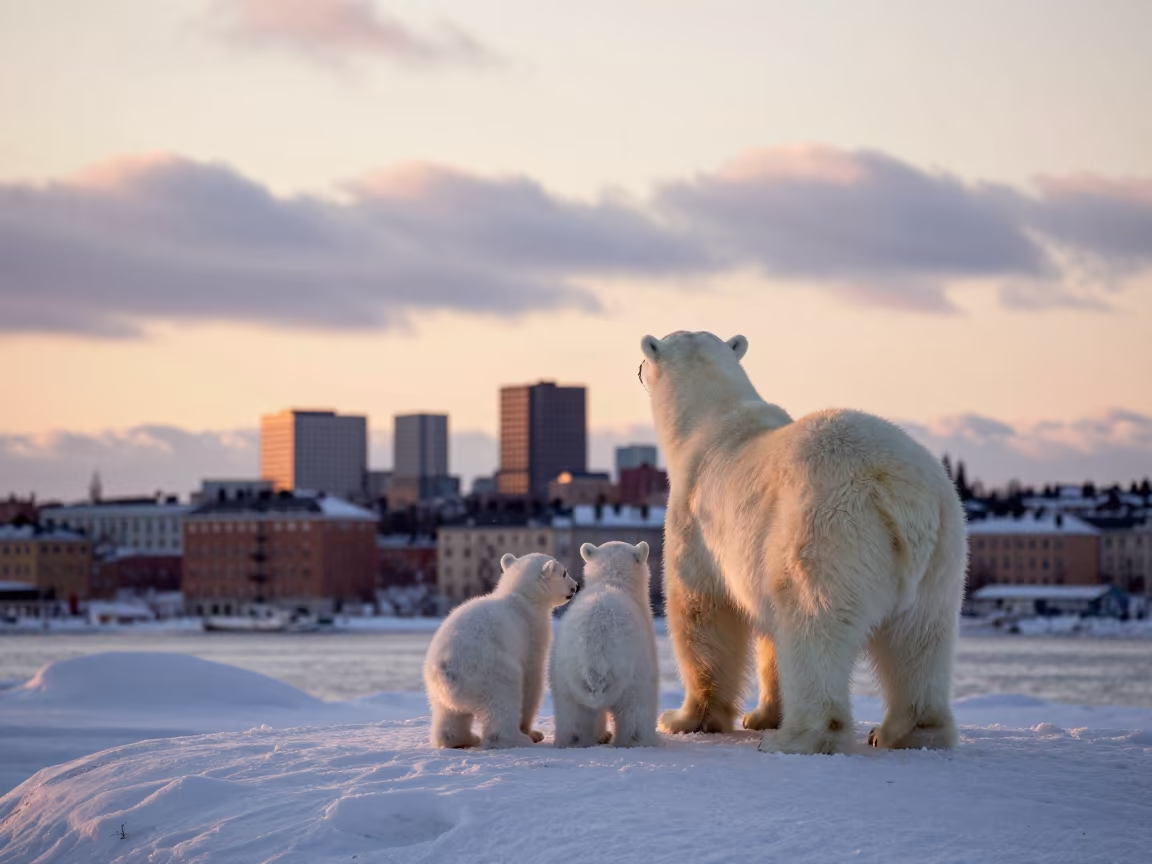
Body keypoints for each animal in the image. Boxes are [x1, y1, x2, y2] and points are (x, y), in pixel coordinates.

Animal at [424, 552, 579, 749]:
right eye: (564, 572)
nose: (576, 586)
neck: (523, 598)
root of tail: (447, 671)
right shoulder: (532, 631)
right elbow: (532, 678)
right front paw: (532, 732)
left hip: (436, 688)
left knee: (448, 713)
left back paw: (461, 739)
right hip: (490, 673)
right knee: (503, 699)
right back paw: (516, 739)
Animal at [550, 540, 661, 749]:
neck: (611, 581)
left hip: (566, 675)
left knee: (573, 716)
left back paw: (573, 741)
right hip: (632, 671)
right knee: (636, 709)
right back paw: (637, 741)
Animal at [639, 330, 967, 755]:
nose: (640, 368)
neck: (710, 419)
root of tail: (898, 493)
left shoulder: (694, 523)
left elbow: (702, 613)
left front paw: (684, 719)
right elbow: (770, 634)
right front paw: (763, 716)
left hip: (828, 532)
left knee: (813, 622)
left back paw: (797, 737)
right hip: (943, 549)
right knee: (921, 637)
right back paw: (907, 732)